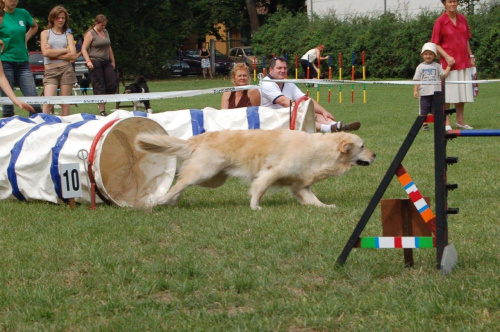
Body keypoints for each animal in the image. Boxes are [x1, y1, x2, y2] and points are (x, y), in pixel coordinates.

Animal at [134, 130, 376, 210]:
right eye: (362, 146)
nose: (375, 155)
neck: (320, 151)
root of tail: (201, 137)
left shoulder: (300, 186)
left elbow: (313, 199)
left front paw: (326, 207)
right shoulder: (271, 171)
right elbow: (259, 189)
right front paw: (255, 207)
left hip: (213, 178)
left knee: (181, 183)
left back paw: (170, 201)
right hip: (206, 172)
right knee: (180, 182)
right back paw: (159, 200)